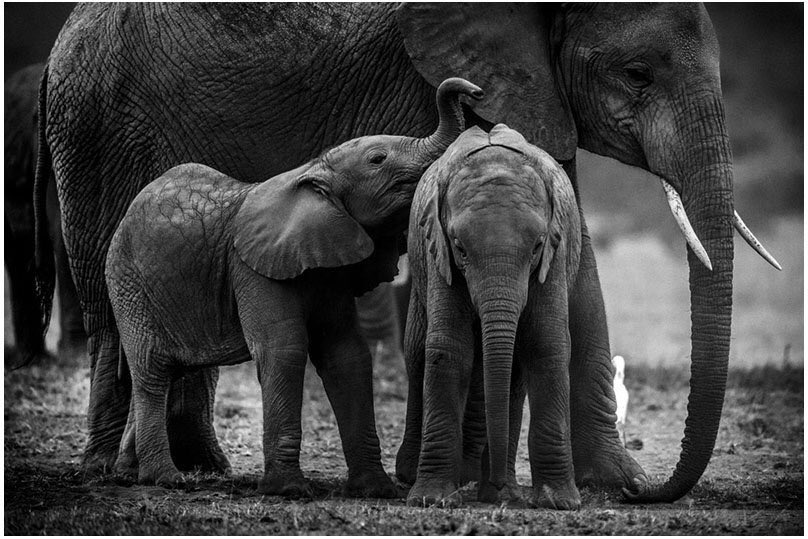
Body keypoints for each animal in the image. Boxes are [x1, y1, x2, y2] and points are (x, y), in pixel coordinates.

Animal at [105, 78, 483, 493]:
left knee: (166, 371)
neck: (313, 172)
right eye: (378, 159)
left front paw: (375, 489)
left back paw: (127, 474)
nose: (475, 91)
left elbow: (346, 354)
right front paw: (289, 490)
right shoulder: (252, 269)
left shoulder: (329, 270)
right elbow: (283, 349)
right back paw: (167, 479)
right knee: (153, 369)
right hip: (128, 283)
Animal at [404, 124, 583, 509]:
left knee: (513, 373)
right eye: (459, 247)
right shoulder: (436, 251)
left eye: (537, 246)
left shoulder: (555, 255)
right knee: (416, 355)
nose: (498, 484)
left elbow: (546, 346)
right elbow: (448, 350)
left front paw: (559, 503)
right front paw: (430, 500)